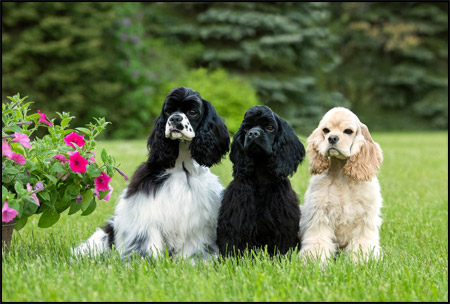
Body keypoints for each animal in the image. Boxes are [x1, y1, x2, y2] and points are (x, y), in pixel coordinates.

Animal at [74, 86, 230, 260]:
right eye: (168, 111)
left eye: (193, 111)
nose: (175, 118)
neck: (182, 166)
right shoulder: (146, 212)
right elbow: (147, 243)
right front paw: (146, 261)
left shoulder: (198, 219)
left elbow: (194, 248)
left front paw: (195, 262)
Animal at [216, 105, 304, 256]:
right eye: (246, 128)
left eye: (269, 127)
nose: (253, 134)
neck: (261, 173)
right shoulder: (236, 220)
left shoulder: (283, 221)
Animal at [298, 108, 384, 262]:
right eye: (326, 130)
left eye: (348, 131)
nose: (332, 138)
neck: (341, 175)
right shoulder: (320, 214)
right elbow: (318, 241)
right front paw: (313, 261)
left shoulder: (365, 218)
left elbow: (362, 243)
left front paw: (362, 261)